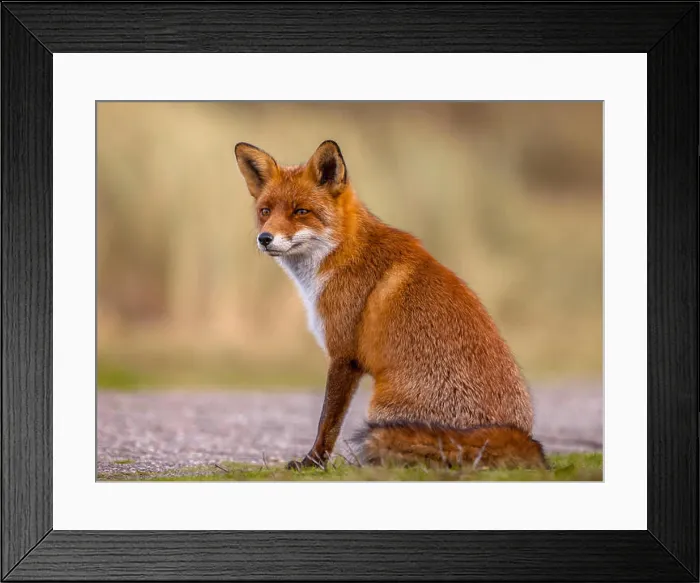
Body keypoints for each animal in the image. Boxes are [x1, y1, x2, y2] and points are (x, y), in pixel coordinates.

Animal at [234, 139, 547, 471]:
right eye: (265, 211)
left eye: (301, 211)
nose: (264, 238)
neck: (342, 253)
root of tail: (517, 435)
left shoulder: (344, 356)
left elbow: (327, 422)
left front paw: (313, 463)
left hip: (380, 409)